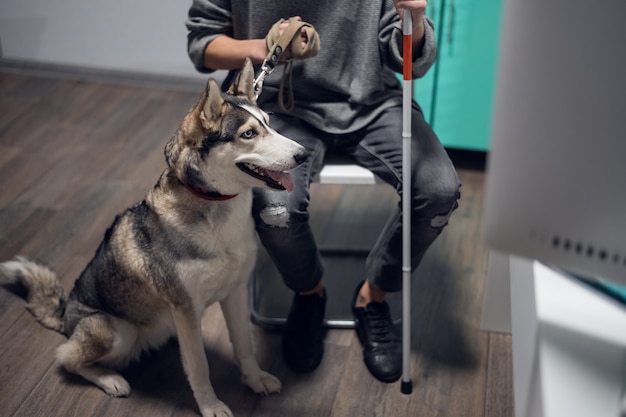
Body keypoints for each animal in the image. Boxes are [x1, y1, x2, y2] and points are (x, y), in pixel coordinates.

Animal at [0, 58, 308, 416]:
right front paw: (210, 406)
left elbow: (244, 344)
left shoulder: (235, 292)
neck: (217, 208)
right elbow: (198, 365)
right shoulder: (185, 308)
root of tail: (65, 315)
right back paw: (111, 379)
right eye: (248, 133)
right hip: (115, 331)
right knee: (66, 359)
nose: (303, 154)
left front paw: (255, 380)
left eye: (269, 124)